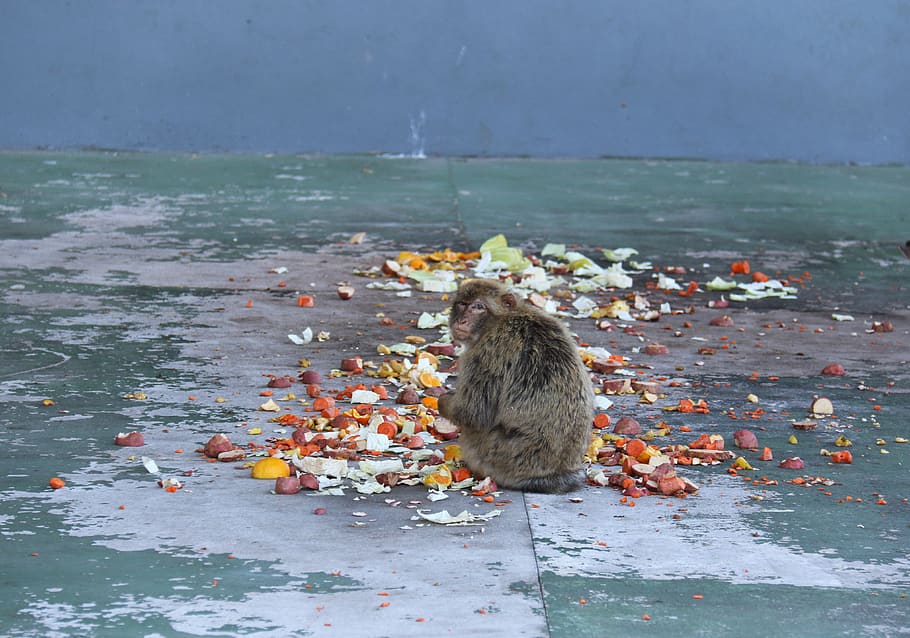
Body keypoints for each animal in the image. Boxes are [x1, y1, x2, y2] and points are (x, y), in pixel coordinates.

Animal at [437, 278, 594, 493]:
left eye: (478, 307)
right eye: (462, 304)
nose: (461, 321)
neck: (503, 318)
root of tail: (557, 473)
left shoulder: (486, 352)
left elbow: (473, 413)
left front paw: (442, 401)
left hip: (496, 455)